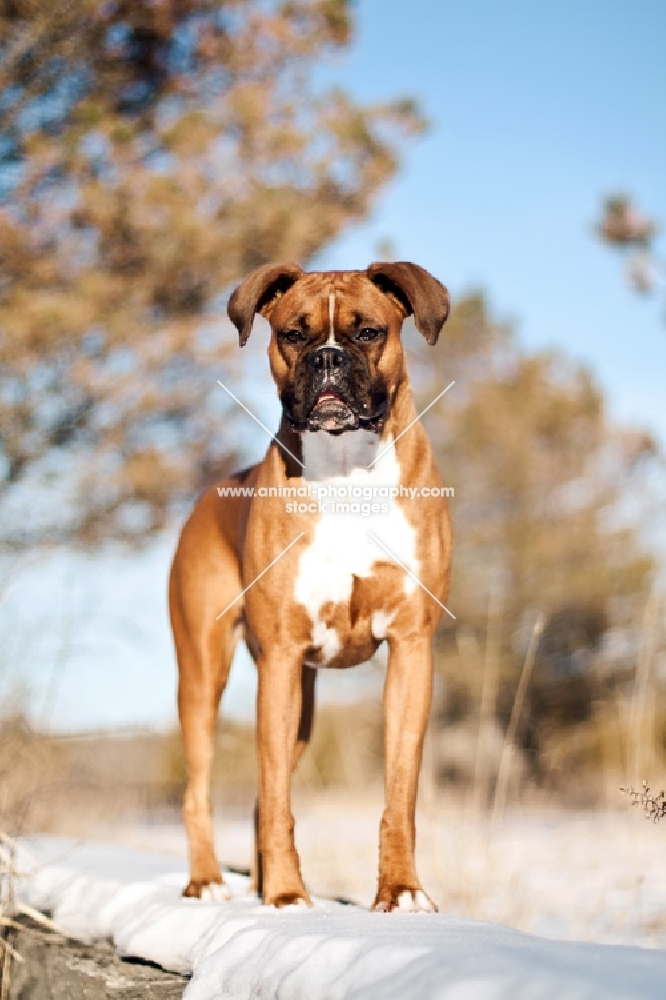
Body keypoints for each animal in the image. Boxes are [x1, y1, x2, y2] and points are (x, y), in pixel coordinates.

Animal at [170, 262, 452, 912]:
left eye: (369, 332)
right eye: (293, 335)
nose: (326, 358)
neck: (346, 470)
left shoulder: (411, 651)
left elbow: (399, 795)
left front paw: (401, 889)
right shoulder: (278, 659)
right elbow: (278, 802)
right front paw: (285, 895)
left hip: (299, 704)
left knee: (262, 793)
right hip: (205, 677)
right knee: (204, 791)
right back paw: (209, 881)